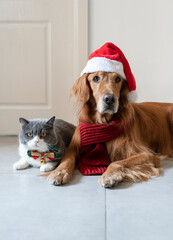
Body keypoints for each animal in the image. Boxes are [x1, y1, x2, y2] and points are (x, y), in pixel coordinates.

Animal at [47, 44, 173, 188]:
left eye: (117, 79)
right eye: (96, 78)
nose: (110, 99)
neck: (102, 123)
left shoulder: (147, 154)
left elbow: (116, 162)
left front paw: (110, 175)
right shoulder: (73, 146)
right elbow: (67, 159)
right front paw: (59, 172)